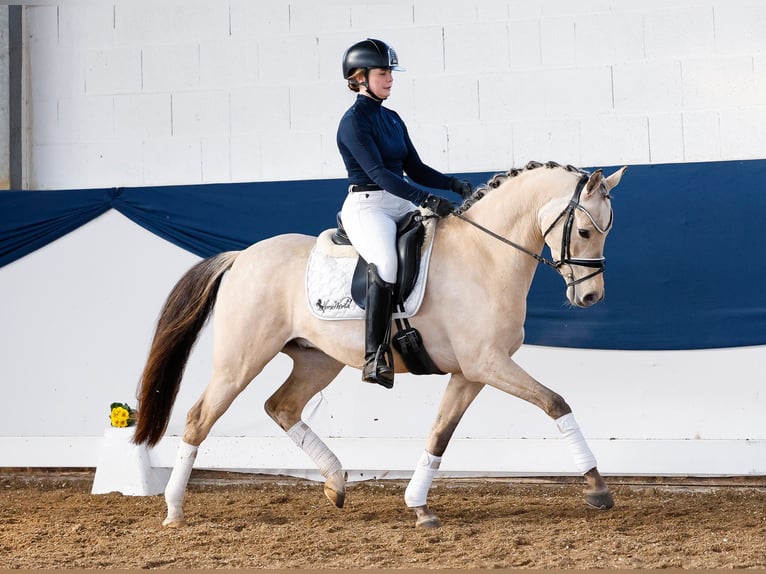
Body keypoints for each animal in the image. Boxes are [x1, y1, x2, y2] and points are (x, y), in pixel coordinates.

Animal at [135, 161, 628, 532]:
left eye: (607, 229)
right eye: (586, 231)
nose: (590, 297)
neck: (485, 255)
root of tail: (241, 257)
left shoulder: (471, 371)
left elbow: (439, 434)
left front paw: (419, 506)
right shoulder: (488, 363)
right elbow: (555, 402)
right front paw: (598, 488)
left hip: (317, 360)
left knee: (282, 407)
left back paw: (336, 483)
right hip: (239, 361)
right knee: (199, 418)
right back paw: (174, 510)